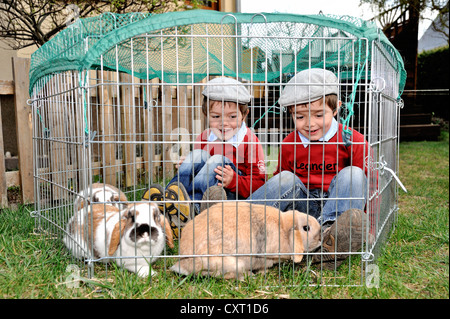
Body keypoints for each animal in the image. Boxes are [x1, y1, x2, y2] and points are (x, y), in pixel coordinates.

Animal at [171, 202, 322, 280]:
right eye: (306, 228)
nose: (320, 239)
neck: (283, 229)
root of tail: (183, 263)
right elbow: (263, 267)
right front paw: (263, 273)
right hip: (231, 263)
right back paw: (248, 276)